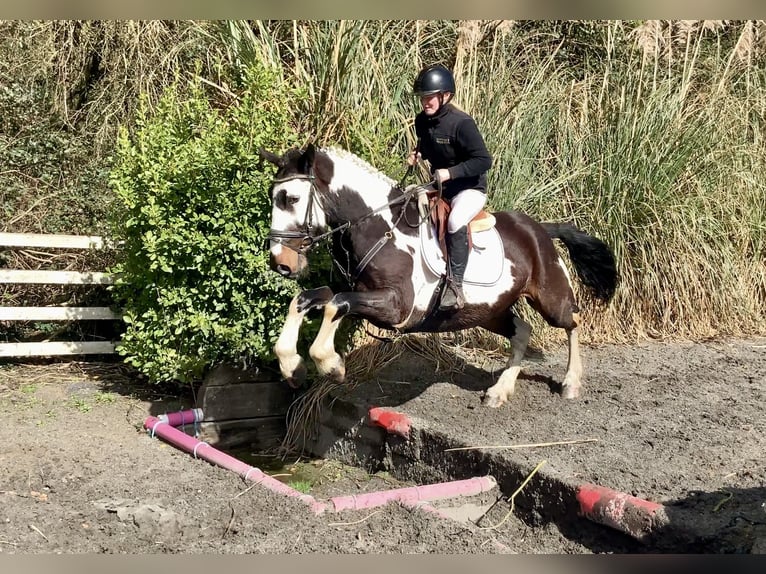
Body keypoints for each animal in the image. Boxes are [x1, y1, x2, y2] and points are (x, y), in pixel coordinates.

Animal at [259, 143, 618, 407]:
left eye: (291, 198)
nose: (280, 263)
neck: (376, 226)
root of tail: (540, 229)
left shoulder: (396, 307)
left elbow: (337, 304)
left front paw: (331, 365)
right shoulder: (352, 289)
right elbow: (306, 298)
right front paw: (292, 366)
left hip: (549, 298)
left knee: (572, 322)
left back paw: (571, 382)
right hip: (487, 311)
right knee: (522, 331)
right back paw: (499, 391)